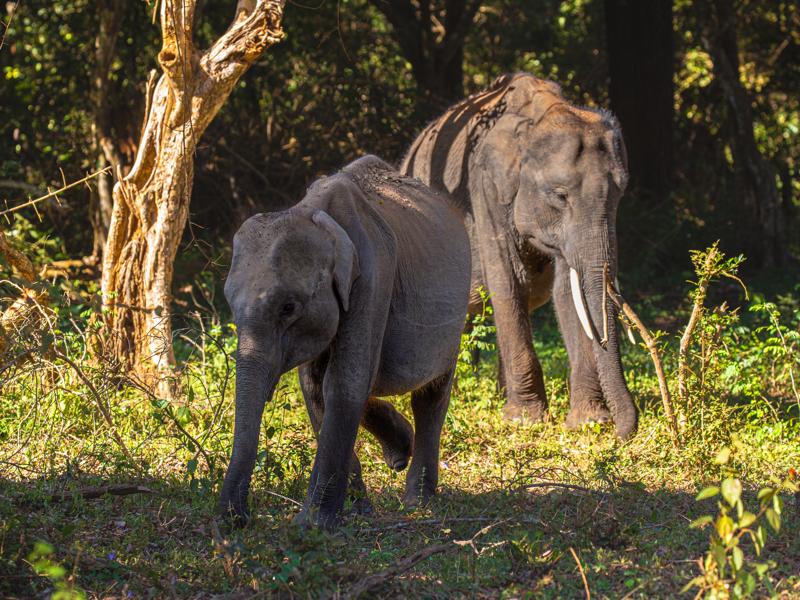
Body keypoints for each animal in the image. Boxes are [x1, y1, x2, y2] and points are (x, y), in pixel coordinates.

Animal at [219, 155, 471, 528]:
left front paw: (312, 523)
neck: (311, 212)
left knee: (431, 395)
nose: (237, 518)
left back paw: (417, 502)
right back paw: (400, 452)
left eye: (288, 307)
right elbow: (314, 388)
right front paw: (355, 510)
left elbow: (343, 383)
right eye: (230, 304)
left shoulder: (374, 277)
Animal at [402, 73, 638, 439]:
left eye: (620, 193)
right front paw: (524, 420)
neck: (540, 115)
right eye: (560, 195)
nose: (621, 432)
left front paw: (588, 423)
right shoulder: (484, 190)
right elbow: (507, 279)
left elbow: (566, 293)